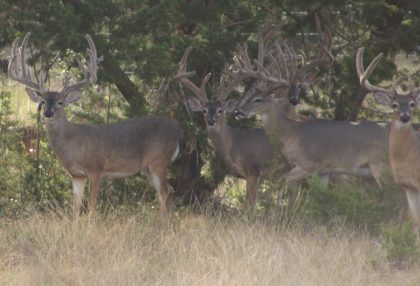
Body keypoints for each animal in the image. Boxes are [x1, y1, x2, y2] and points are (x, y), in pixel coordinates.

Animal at [7, 33, 179, 217]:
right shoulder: (76, 175)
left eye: (60, 102)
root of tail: (179, 132)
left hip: (159, 160)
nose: (48, 113)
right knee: (167, 192)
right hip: (147, 167)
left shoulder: (96, 168)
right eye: (43, 101)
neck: (72, 143)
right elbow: (75, 208)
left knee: (166, 192)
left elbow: (91, 207)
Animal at [172, 47, 274, 212]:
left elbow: (250, 207)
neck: (234, 143)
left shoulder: (253, 170)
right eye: (204, 110)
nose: (211, 121)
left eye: (221, 110)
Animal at [235, 19, 388, 187]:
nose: (238, 111)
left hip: (381, 166)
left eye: (258, 99)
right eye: (250, 94)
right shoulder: (325, 171)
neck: (290, 133)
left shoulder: (311, 165)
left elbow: (284, 180)